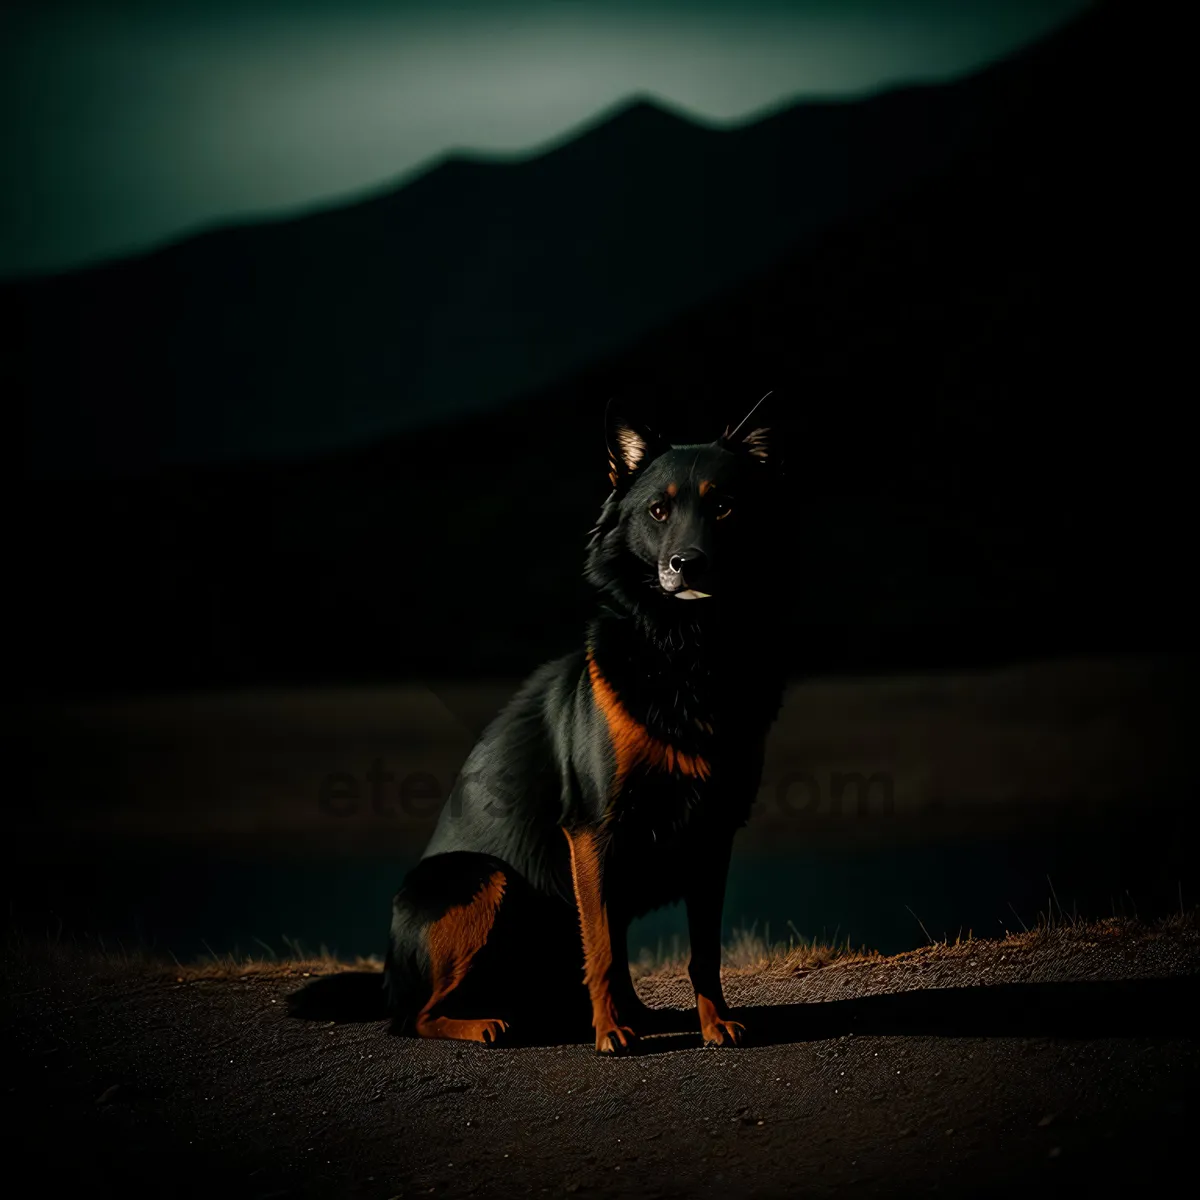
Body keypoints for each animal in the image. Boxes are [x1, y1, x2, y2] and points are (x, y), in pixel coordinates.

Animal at [384, 396, 792, 1051]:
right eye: (658, 510)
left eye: (725, 506)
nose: (687, 564)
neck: (686, 650)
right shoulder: (592, 829)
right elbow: (601, 950)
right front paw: (611, 1033)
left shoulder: (712, 833)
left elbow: (701, 951)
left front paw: (713, 1023)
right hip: (482, 878)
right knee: (413, 1016)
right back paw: (485, 1023)